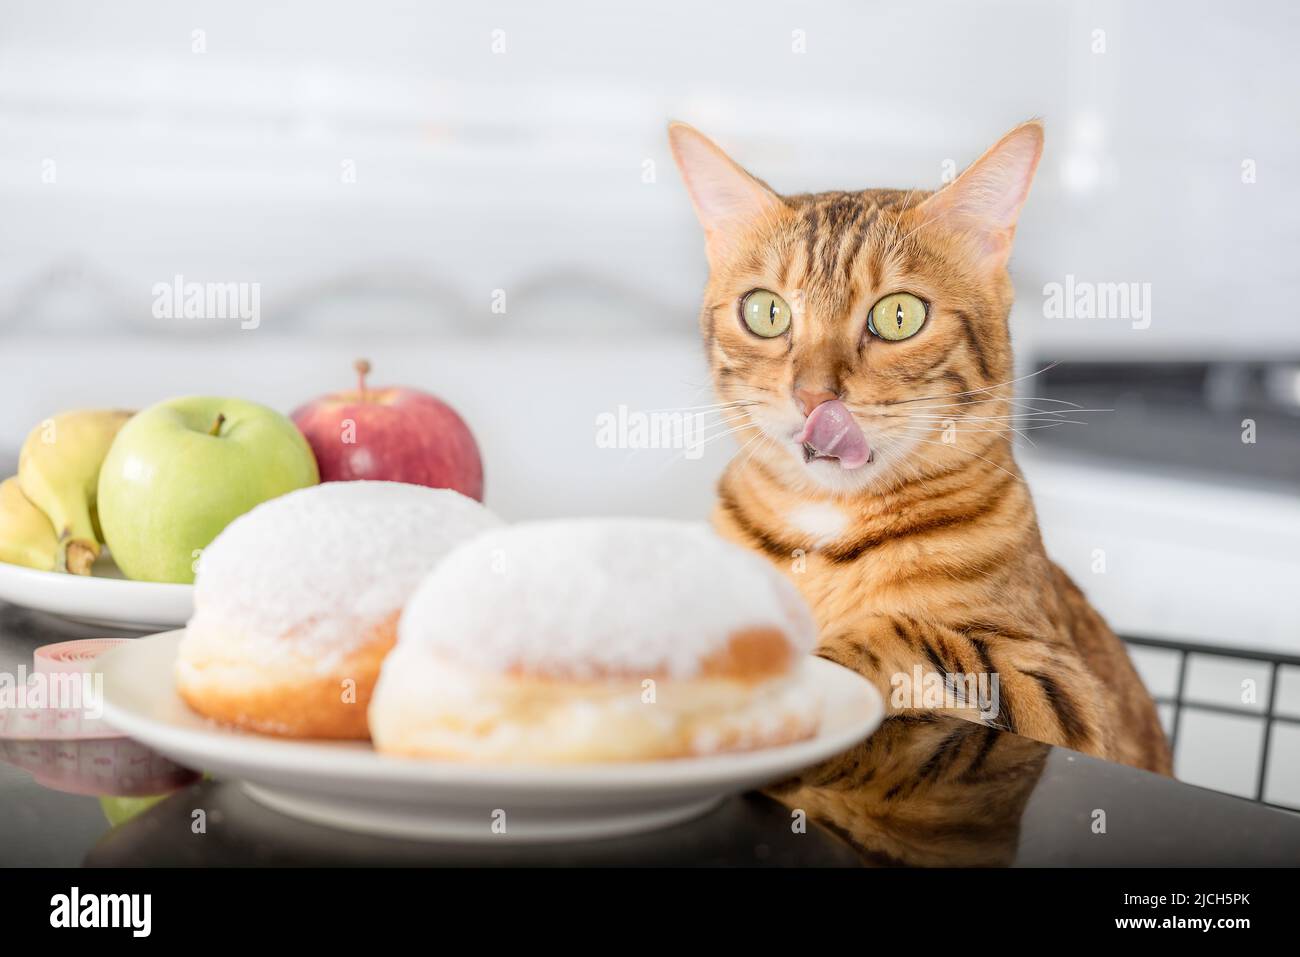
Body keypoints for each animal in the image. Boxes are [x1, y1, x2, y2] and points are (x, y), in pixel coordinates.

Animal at [670, 121, 1170, 780]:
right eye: (766, 310)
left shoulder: (1072, 697)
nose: (813, 396)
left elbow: (917, 638)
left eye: (899, 315)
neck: (825, 535)